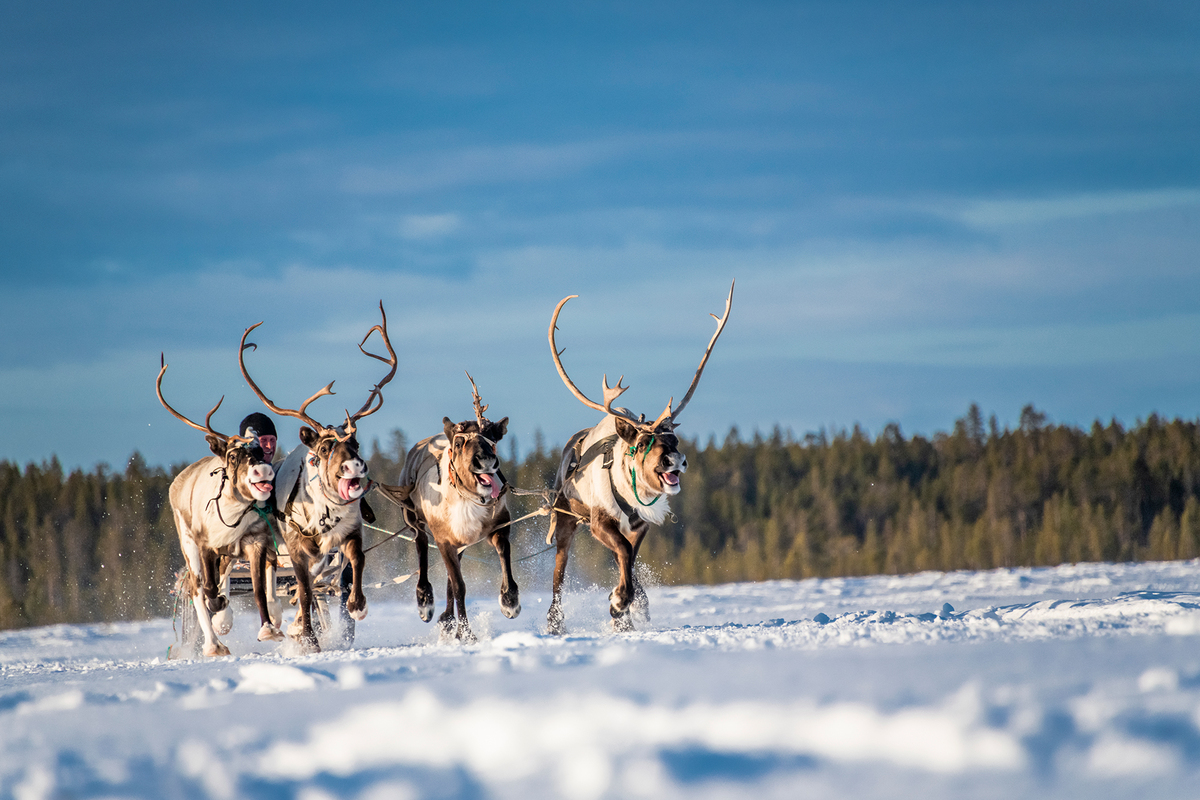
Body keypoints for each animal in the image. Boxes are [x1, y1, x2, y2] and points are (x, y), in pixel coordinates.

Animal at [157, 356, 285, 657]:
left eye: (260, 450)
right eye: (233, 456)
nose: (263, 471)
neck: (231, 516)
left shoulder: (255, 542)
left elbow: (259, 589)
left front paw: (268, 628)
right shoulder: (205, 545)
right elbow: (209, 591)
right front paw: (219, 613)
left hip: (230, 553)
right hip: (189, 544)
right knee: (196, 588)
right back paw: (213, 643)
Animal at [238, 302, 397, 653]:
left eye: (355, 443)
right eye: (324, 448)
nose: (356, 466)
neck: (326, 512)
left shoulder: (351, 533)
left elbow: (357, 563)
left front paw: (357, 605)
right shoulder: (296, 547)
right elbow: (303, 588)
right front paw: (308, 637)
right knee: (290, 587)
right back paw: (289, 625)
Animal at [377, 373, 517, 643]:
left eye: (493, 440)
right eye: (460, 443)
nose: (486, 460)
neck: (470, 500)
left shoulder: (499, 525)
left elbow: (504, 556)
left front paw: (510, 601)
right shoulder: (443, 539)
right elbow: (460, 586)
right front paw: (467, 632)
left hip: (459, 542)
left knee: (451, 575)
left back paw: (446, 618)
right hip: (413, 518)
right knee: (421, 546)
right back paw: (426, 602)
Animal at [544, 281, 734, 634]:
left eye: (673, 438)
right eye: (644, 441)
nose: (676, 461)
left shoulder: (639, 525)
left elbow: (629, 557)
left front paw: (624, 607)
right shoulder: (599, 521)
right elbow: (622, 551)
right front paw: (619, 603)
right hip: (565, 520)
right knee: (558, 574)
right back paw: (554, 622)